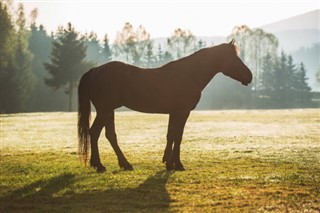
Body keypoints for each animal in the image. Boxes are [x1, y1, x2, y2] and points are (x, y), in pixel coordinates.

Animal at [78, 39, 252, 173]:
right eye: (234, 58)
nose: (249, 76)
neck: (189, 74)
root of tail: (94, 70)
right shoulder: (183, 112)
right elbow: (178, 136)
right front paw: (178, 164)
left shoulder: (173, 112)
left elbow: (171, 136)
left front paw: (168, 163)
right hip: (104, 110)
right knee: (94, 132)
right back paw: (100, 165)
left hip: (108, 111)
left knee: (110, 135)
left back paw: (124, 164)